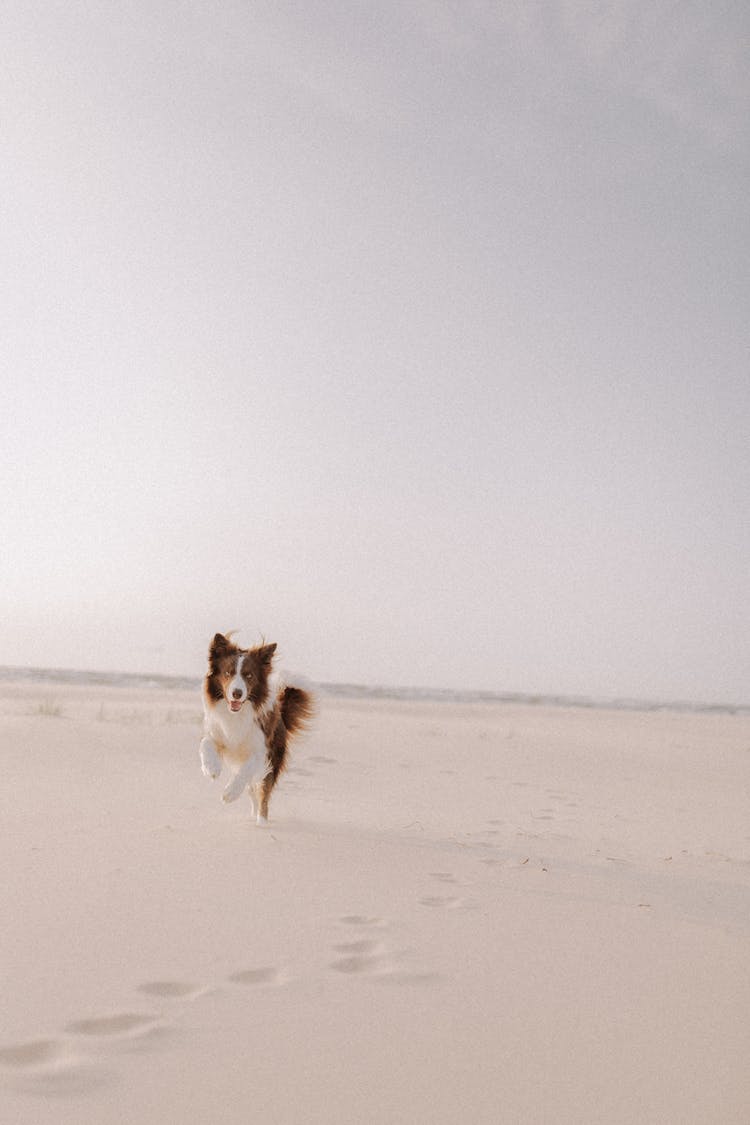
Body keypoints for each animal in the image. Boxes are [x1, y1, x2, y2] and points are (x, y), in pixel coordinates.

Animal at [199, 634, 314, 828]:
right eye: (228, 673)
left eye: (249, 675)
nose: (237, 693)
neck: (237, 714)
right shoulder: (218, 733)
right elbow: (205, 742)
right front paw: (211, 768)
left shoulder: (262, 751)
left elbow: (247, 770)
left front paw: (230, 793)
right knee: (253, 791)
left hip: (273, 761)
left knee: (262, 794)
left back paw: (262, 822)